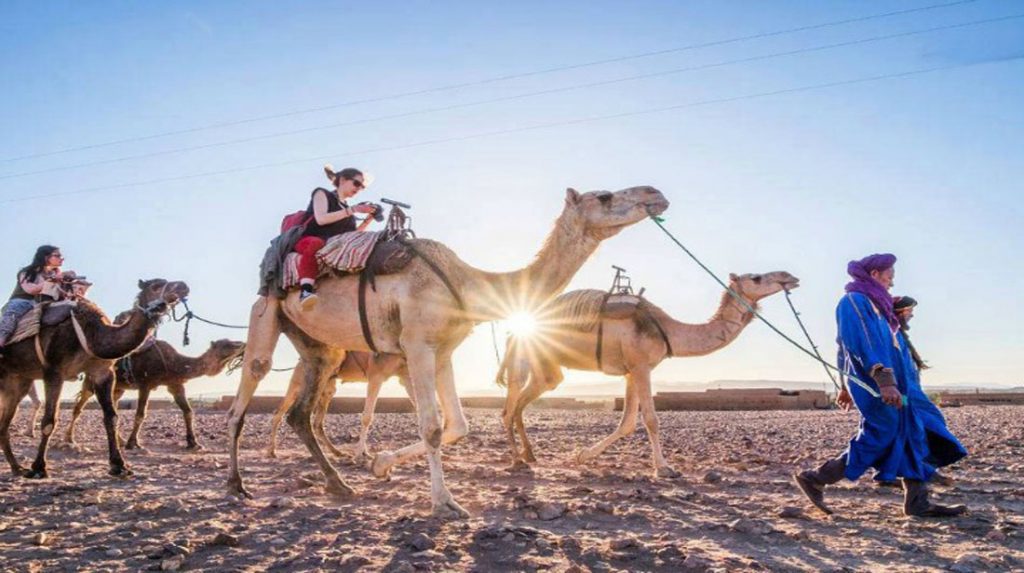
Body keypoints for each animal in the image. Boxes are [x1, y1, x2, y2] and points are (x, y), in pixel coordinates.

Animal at [0, 280, 190, 476]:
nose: (183, 286)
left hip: (18, 380)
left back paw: (16, 468)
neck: (91, 333)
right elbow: (49, 420)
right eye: (156, 285)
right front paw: (39, 468)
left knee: (4, 424)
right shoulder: (54, 371)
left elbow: (112, 417)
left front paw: (119, 465)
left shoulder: (102, 373)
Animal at [65, 337, 245, 450]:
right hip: (91, 379)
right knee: (79, 406)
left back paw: (119, 440)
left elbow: (188, 411)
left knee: (113, 405)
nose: (243, 344)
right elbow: (140, 414)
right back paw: (69, 440)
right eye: (227, 345)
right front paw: (133, 443)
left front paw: (193, 443)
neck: (176, 363)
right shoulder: (146, 384)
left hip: (118, 387)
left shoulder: (175, 385)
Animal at [264, 351, 407, 458]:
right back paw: (272, 451)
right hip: (301, 383)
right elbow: (367, 416)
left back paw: (337, 452)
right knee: (283, 413)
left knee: (314, 422)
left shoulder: (403, 375)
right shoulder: (376, 375)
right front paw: (359, 454)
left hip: (326, 388)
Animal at [495, 270, 798, 476]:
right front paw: (664, 468)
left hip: (547, 368)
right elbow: (651, 419)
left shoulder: (631, 371)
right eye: (756, 278)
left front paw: (583, 455)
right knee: (509, 407)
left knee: (525, 401)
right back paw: (517, 459)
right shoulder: (641, 366)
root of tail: (513, 331)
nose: (789, 277)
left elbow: (628, 422)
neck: (668, 330)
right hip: (523, 356)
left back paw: (530, 455)